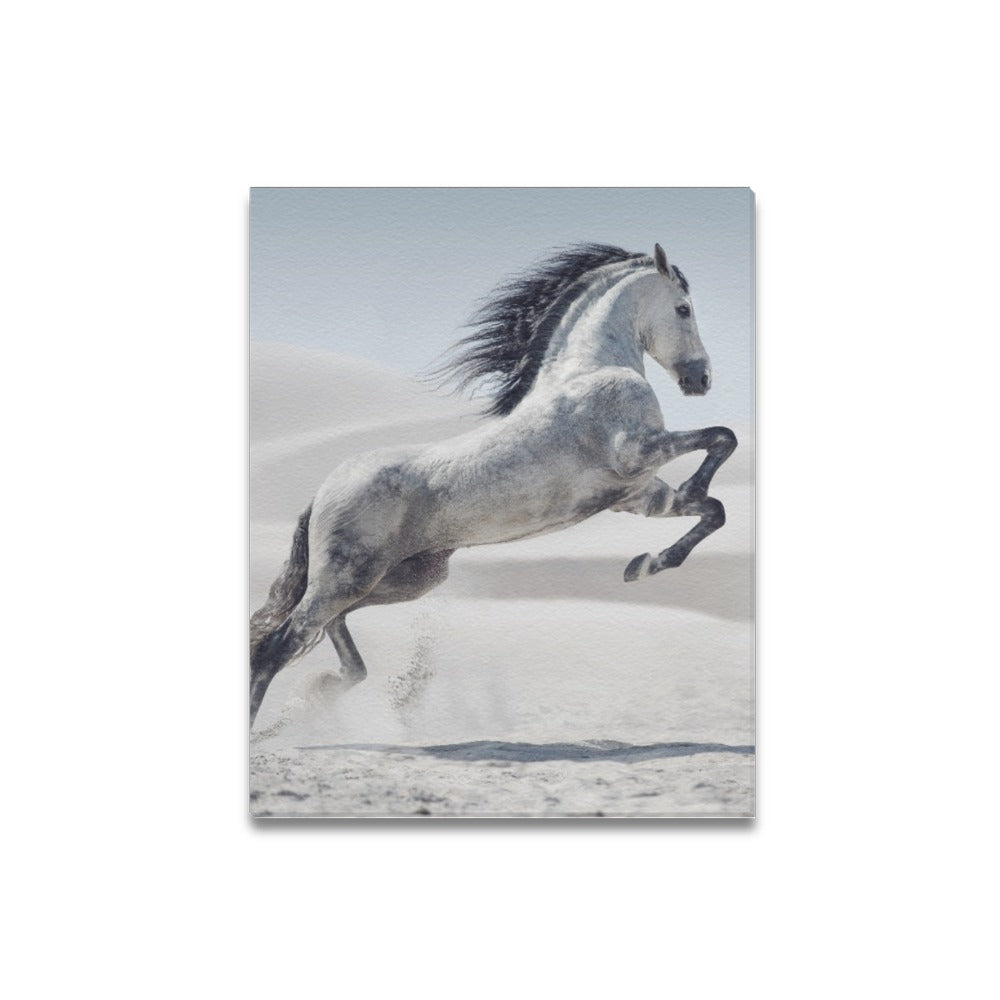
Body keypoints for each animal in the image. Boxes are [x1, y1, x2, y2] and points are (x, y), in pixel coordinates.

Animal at [250, 243, 737, 727]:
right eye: (683, 308)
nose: (701, 380)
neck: (590, 371)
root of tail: (322, 492)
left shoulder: (637, 495)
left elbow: (713, 509)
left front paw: (644, 564)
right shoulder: (636, 451)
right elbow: (722, 436)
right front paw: (687, 497)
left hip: (405, 579)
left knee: (330, 632)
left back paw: (315, 699)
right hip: (347, 577)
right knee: (276, 647)